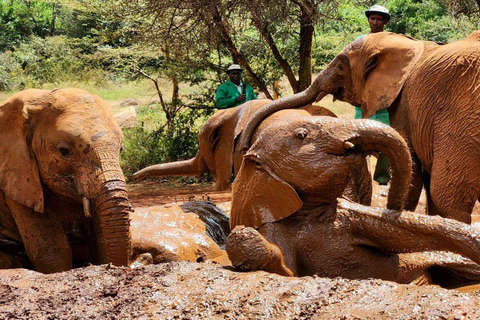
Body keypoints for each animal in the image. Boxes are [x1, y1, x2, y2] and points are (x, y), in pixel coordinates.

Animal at [227, 112, 480, 284]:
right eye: (302, 135)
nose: (394, 205)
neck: (309, 215)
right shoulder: (273, 226)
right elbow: (288, 271)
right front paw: (246, 240)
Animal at [238, 31, 480, 224]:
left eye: (340, 67)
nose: (243, 148)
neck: (407, 43)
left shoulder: (405, 103)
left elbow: (414, 172)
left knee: (449, 195)